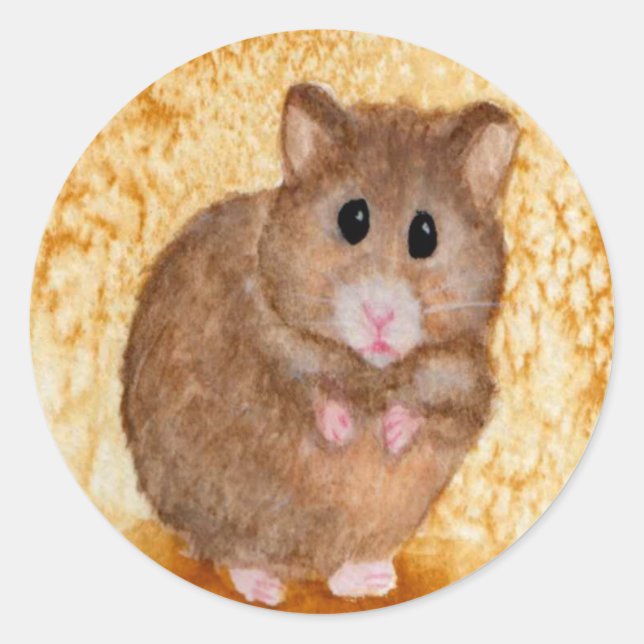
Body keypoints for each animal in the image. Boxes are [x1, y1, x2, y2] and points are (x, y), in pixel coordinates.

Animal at [121, 83, 519, 605]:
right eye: (353, 218)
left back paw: (373, 578)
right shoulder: (256, 335)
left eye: (426, 233)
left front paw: (391, 431)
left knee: (334, 569)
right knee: (230, 552)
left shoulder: (465, 373)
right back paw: (267, 589)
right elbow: (299, 382)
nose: (380, 317)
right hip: (212, 508)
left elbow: (439, 409)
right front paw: (342, 429)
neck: (370, 370)